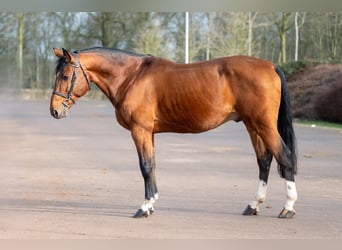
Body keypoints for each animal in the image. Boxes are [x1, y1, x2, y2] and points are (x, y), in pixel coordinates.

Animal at [50, 47, 296, 219]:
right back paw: (253, 205)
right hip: (252, 124)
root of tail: (271, 67)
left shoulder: (140, 130)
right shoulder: (149, 132)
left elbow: (145, 166)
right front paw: (151, 204)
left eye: (65, 76)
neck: (132, 76)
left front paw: (144, 208)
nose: (54, 110)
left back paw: (288, 208)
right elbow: (152, 165)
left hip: (263, 125)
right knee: (264, 160)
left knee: (284, 157)